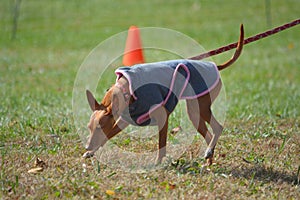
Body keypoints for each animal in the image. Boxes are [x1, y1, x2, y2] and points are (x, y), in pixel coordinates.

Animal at [82, 24, 244, 166]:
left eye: (99, 127)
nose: (87, 146)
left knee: (218, 127)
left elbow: (161, 144)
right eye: (89, 127)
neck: (126, 88)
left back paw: (209, 150)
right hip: (194, 112)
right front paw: (91, 153)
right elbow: (108, 135)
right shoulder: (123, 119)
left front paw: (157, 163)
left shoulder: (162, 117)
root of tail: (214, 66)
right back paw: (208, 159)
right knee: (209, 134)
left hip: (201, 105)